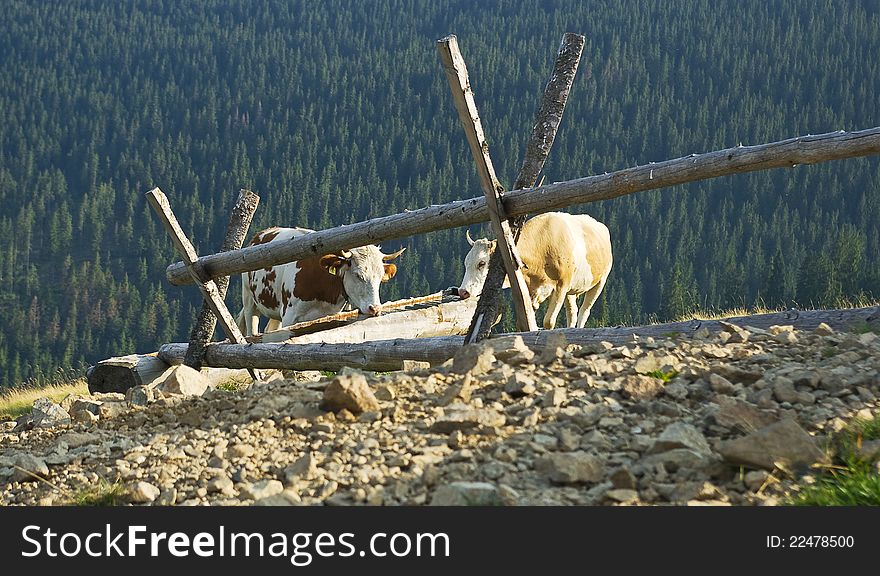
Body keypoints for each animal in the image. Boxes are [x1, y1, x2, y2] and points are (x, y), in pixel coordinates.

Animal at [239, 226, 408, 338]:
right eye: (358, 275)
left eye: (380, 277)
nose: (375, 308)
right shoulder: (289, 316)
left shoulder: (329, 317)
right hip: (249, 299)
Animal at [458, 212, 616, 328]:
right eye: (466, 263)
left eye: (482, 263)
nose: (462, 291)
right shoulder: (532, 290)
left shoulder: (561, 285)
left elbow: (548, 321)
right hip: (571, 289)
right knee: (572, 313)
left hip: (600, 281)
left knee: (584, 311)